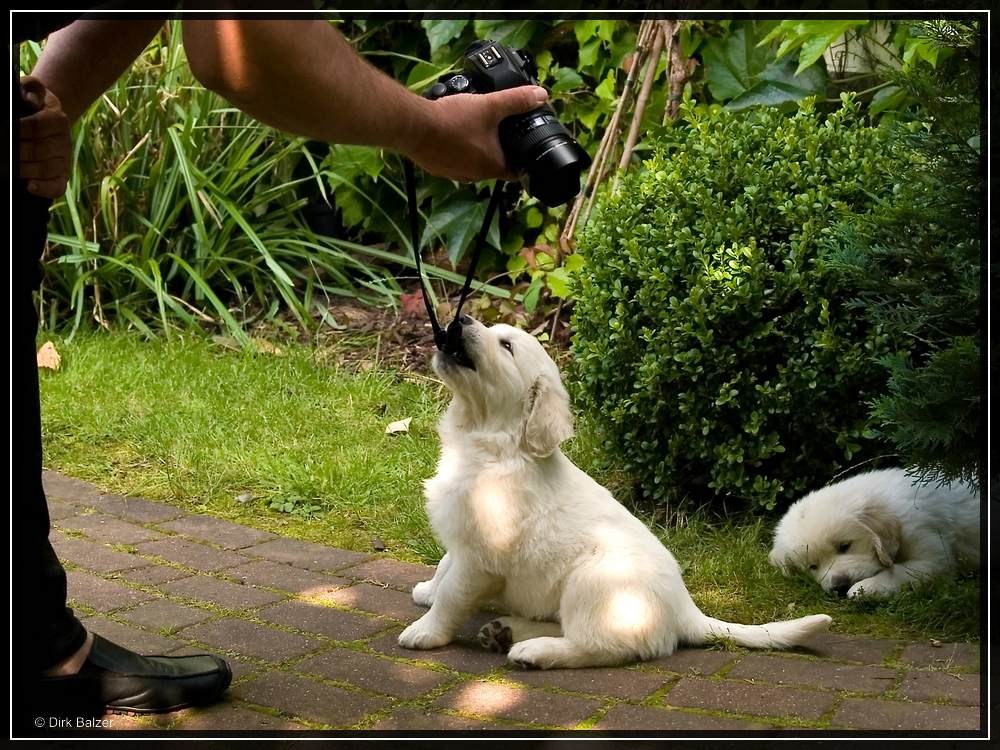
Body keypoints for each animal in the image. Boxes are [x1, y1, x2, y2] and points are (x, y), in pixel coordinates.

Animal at [394, 320, 832, 672]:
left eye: (506, 345)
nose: (462, 319)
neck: (492, 443)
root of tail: (684, 609)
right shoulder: (462, 538)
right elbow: (444, 567)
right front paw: (427, 591)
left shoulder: (481, 554)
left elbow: (453, 594)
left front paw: (425, 631)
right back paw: (507, 631)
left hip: (596, 580)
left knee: (602, 646)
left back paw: (534, 650)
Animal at [768, 468, 980, 604]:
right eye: (812, 566)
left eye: (844, 546)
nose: (839, 586)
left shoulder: (935, 558)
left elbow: (899, 572)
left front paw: (865, 588)